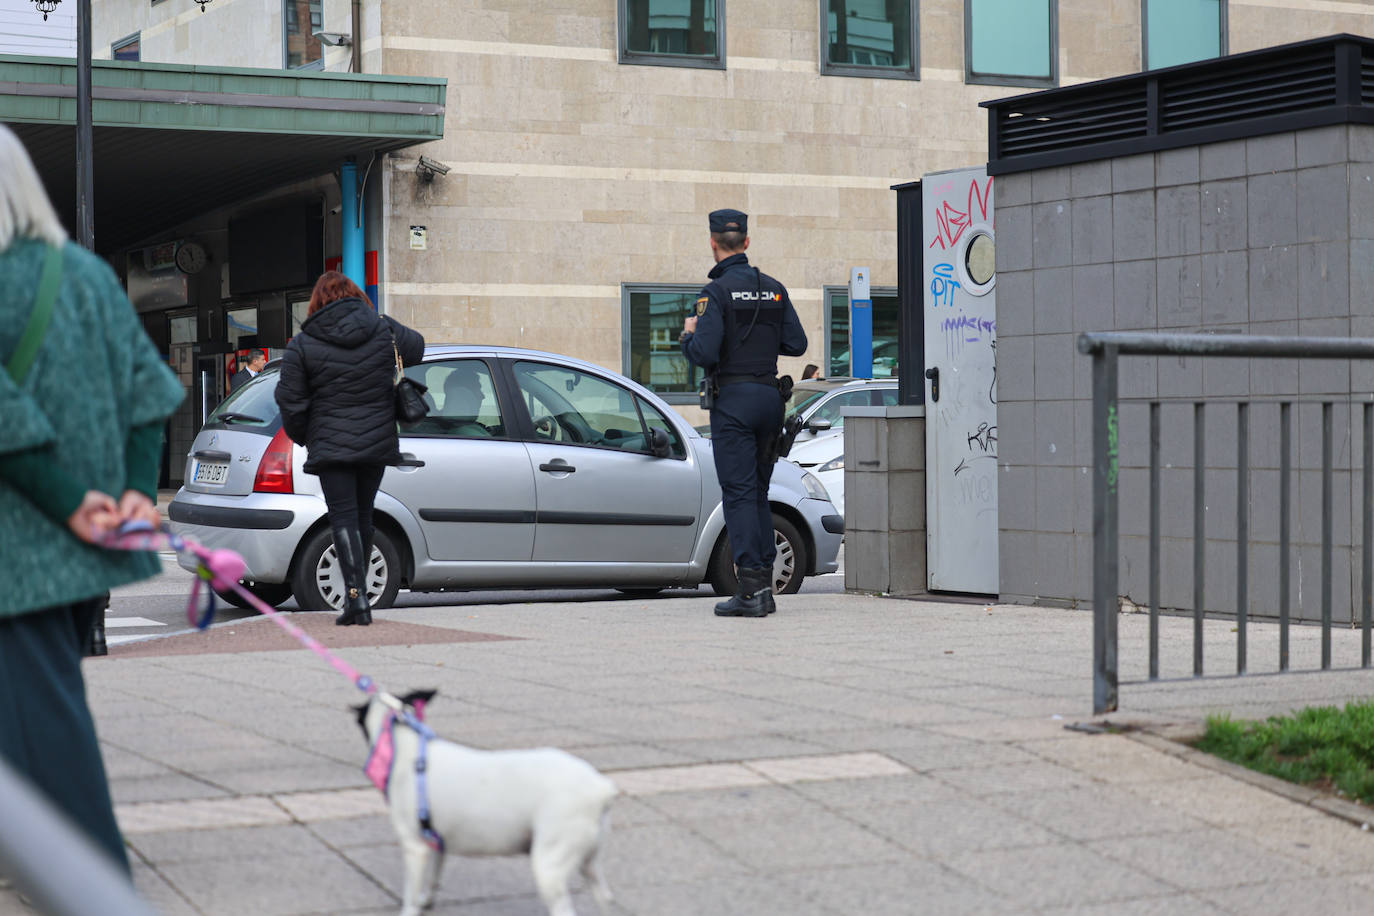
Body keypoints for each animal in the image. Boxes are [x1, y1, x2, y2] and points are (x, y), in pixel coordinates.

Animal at [354, 692, 618, 916]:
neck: (405, 748)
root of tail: (600, 788)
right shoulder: (438, 843)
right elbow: (433, 879)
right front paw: (426, 901)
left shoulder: (414, 847)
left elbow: (410, 896)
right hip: (590, 861)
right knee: (605, 897)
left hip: (549, 866)